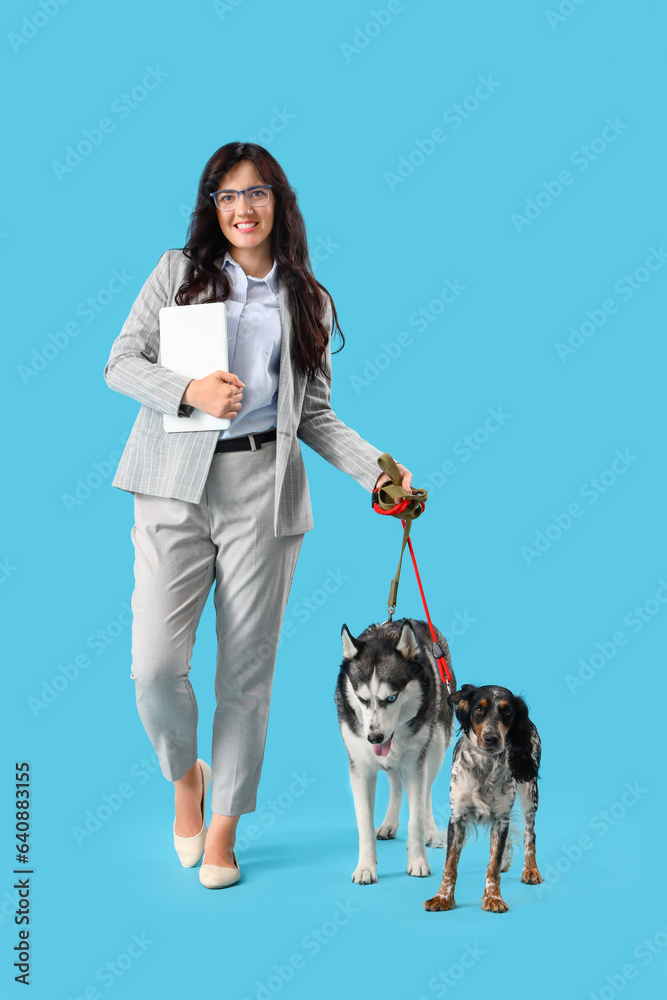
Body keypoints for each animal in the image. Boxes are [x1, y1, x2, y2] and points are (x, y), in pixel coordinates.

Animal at [336, 616, 456, 884]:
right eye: (362, 699)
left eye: (391, 698)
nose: (374, 737)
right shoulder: (360, 768)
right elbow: (364, 822)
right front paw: (366, 867)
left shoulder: (415, 765)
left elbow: (416, 817)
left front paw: (418, 860)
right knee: (396, 783)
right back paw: (390, 823)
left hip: (435, 746)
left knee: (427, 791)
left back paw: (431, 831)